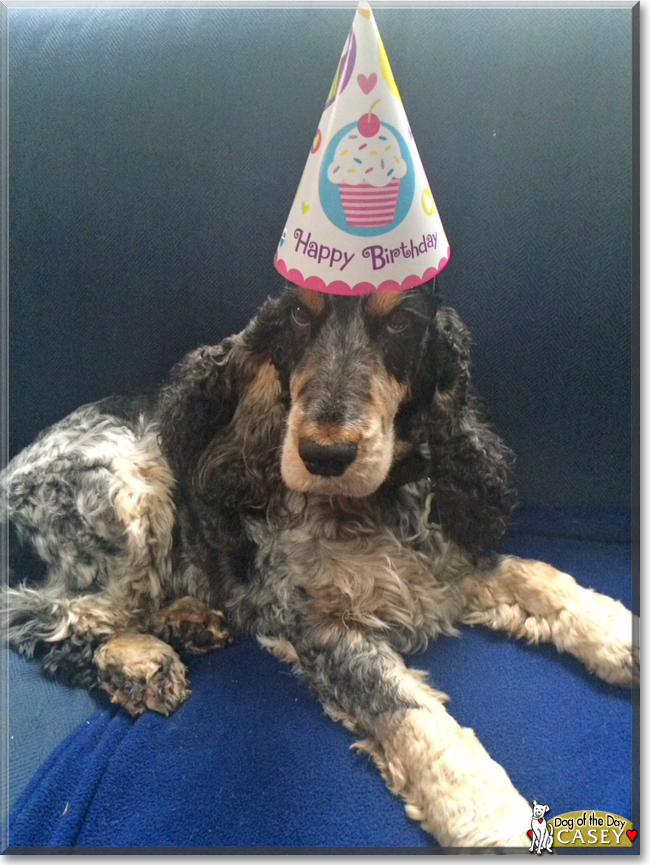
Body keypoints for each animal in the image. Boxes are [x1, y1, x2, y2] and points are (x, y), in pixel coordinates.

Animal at [1, 282, 636, 844]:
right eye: (299, 318)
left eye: (401, 322)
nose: (323, 455)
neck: (376, 506)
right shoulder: (320, 626)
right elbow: (408, 708)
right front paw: (486, 812)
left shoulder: (446, 563)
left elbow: (540, 578)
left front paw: (620, 636)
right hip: (128, 491)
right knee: (54, 616)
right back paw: (141, 663)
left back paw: (189, 620)